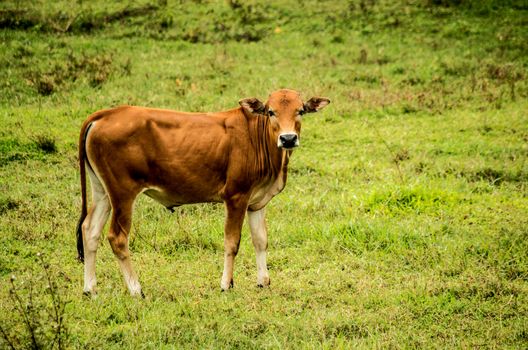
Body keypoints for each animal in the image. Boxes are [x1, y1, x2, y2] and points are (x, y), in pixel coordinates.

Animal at [77, 89, 330, 296]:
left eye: (300, 111)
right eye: (270, 112)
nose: (288, 138)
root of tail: (105, 114)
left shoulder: (257, 203)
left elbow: (260, 240)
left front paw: (263, 281)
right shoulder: (236, 197)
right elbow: (232, 242)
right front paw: (226, 284)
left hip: (102, 191)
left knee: (90, 230)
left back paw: (90, 289)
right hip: (123, 193)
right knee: (117, 238)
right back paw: (136, 289)